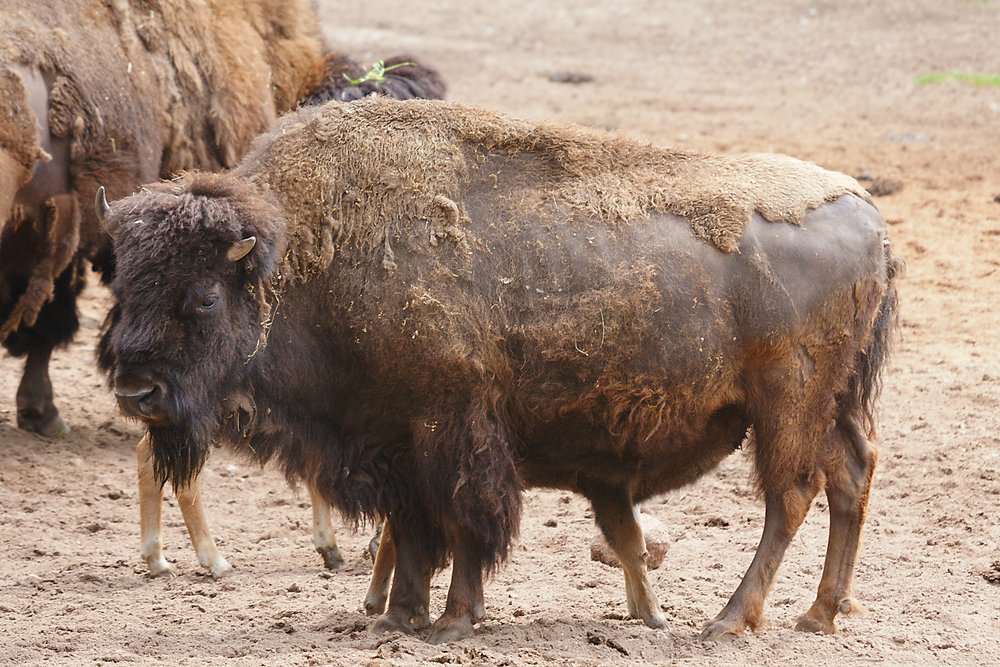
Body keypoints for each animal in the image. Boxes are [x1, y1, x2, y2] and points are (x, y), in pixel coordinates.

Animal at [98, 98, 899, 643]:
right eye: (122, 283)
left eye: (203, 295)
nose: (137, 389)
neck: (302, 262)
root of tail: (868, 215)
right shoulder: (391, 440)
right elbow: (414, 529)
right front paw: (398, 617)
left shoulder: (449, 426)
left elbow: (463, 521)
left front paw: (454, 619)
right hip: (836, 403)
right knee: (851, 476)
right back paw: (818, 614)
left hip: (787, 404)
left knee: (791, 494)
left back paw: (730, 619)